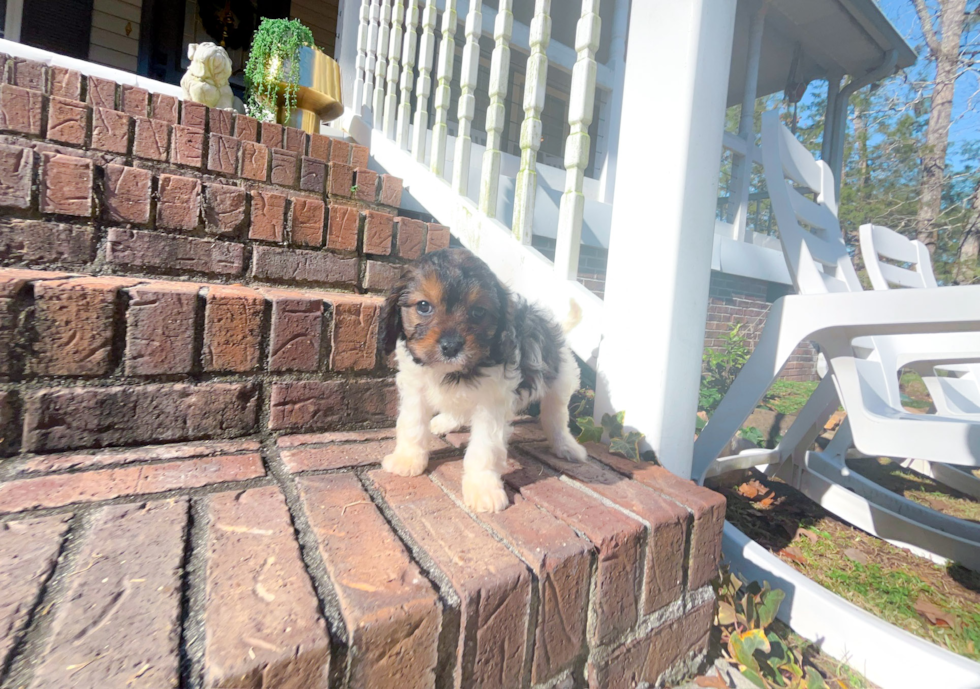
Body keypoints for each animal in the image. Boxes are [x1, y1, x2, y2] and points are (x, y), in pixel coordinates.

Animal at [378, 247, 584, 510]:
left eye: (478, 312)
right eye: (423, 306)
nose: (451, 346)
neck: (454, 372)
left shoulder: (492, 403)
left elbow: (484, 447)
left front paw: (483, 488)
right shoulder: (415, 389)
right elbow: (411, 424)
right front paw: (407, 459)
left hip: (559, 383)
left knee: (555, 417)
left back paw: (567, 446)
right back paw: (444, 421)